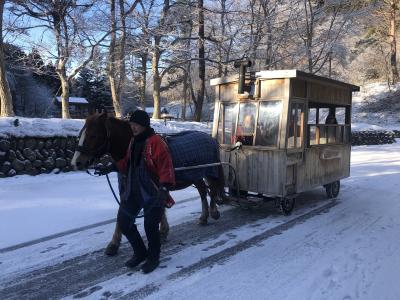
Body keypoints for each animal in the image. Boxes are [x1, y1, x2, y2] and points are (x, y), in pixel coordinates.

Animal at [71, 112, 225, 255]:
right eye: (80, 135)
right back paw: (204, 217)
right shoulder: (127, 189)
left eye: (93, 135)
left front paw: (162, 231)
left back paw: (213, 212)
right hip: (195, 175)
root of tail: (210, 138)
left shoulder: (155, 186)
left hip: (210, 171)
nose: (76, 162)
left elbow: (158, 207)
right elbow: (122, 212)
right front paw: (114, 243)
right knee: (203, 191)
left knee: (213, 188)